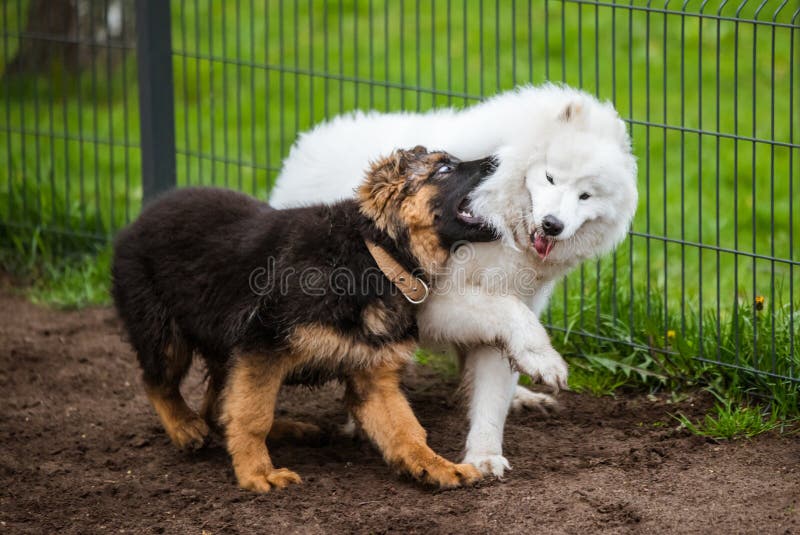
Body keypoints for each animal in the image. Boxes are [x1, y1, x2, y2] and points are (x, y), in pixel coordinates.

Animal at [111, 147, 500, 494]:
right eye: (444, 169)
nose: (499, 159)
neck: (374, 256)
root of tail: (140, 218)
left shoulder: (373, 375)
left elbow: (406, 429)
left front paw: (435, 465)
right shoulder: (262, 347)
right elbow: (252, 415)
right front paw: (257, 474)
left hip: (224, 348)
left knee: (217, 408)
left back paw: (290, 429)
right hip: (165, 333)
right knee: (159, 383)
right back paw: (184, 426)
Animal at [268, 84, 636, 478]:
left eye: (585, 195)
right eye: (550, 178)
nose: (553, 225)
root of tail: (309, 140)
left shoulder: (498, 307)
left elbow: (492, 389)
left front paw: (484, 455)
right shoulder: (433, 303)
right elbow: (513, 317)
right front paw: (545, 361)